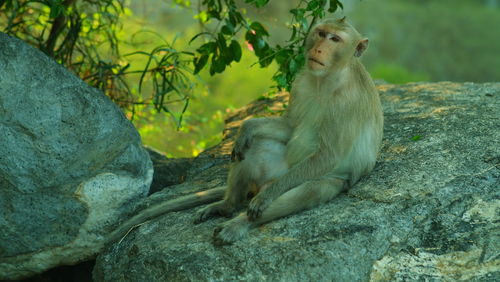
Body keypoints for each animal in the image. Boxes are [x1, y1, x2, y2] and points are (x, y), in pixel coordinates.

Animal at [106, 17, 382, 246]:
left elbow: (329, 155)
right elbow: (291, 126)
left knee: (306, 190)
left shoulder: (348, 103)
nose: (318, 49)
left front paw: (266, 198)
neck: (327, 78)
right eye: (321, 33)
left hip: (328, 180)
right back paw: (226, 205)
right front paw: (247, 127)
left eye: (335, 40)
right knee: (254, 149)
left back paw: (240, 220)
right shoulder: (301, 81)